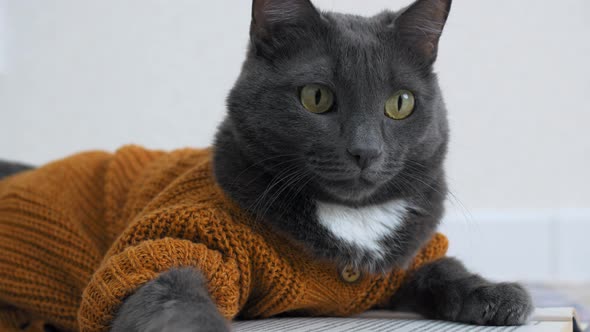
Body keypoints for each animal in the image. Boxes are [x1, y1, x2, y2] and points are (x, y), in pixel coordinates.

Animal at [0, 0, 536, 332]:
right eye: (316, 97)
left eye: (400, 103)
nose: (366, 151)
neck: (350, 222)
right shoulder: (170, 240)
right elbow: (169, 295)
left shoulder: (406, 261)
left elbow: (444, 269)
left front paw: (497, 294)